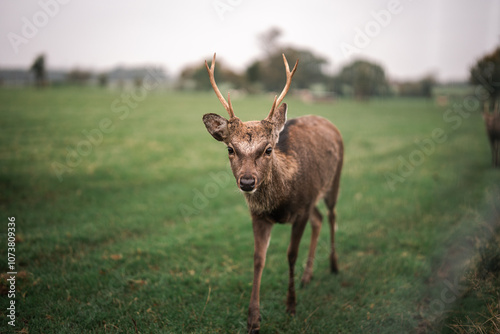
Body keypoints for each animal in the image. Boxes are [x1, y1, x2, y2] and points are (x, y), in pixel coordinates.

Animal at [201, 53, 342, 332]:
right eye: (230, 149)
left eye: (268, 149)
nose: (247, 181)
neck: (280, 203)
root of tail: (328, 122)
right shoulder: (258, 216)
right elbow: (258, 259)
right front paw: (253, 319)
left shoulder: (301, 210)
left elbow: (290, 255)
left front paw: (291, 306)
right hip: (314, 198)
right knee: (319, 219)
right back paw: (308, 276)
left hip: (334, 179)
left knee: (332, 216)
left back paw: (333, 266)